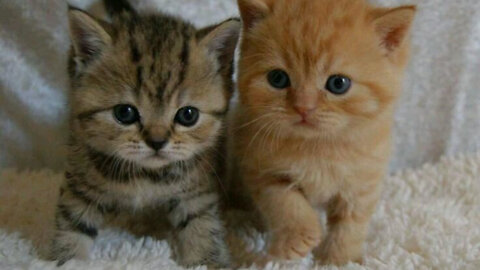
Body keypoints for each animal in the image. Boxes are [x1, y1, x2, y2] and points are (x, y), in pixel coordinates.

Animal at [50, 0, 240, 266]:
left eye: (188, 115)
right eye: (124, 113)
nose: (157, 141)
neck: (146, 175)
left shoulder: (197, 187)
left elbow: (203, 226)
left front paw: (208, 261)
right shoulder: (80, 178)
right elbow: (72, 224)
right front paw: (66, 259)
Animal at [231, 0, 414, 266]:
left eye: (338, 83)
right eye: (278, 78)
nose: (303, 107)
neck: (318, 148)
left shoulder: (363, 182)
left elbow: (350, 225)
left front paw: (339, 259)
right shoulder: (259, 169)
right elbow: (284, 202)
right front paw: (298, 238)